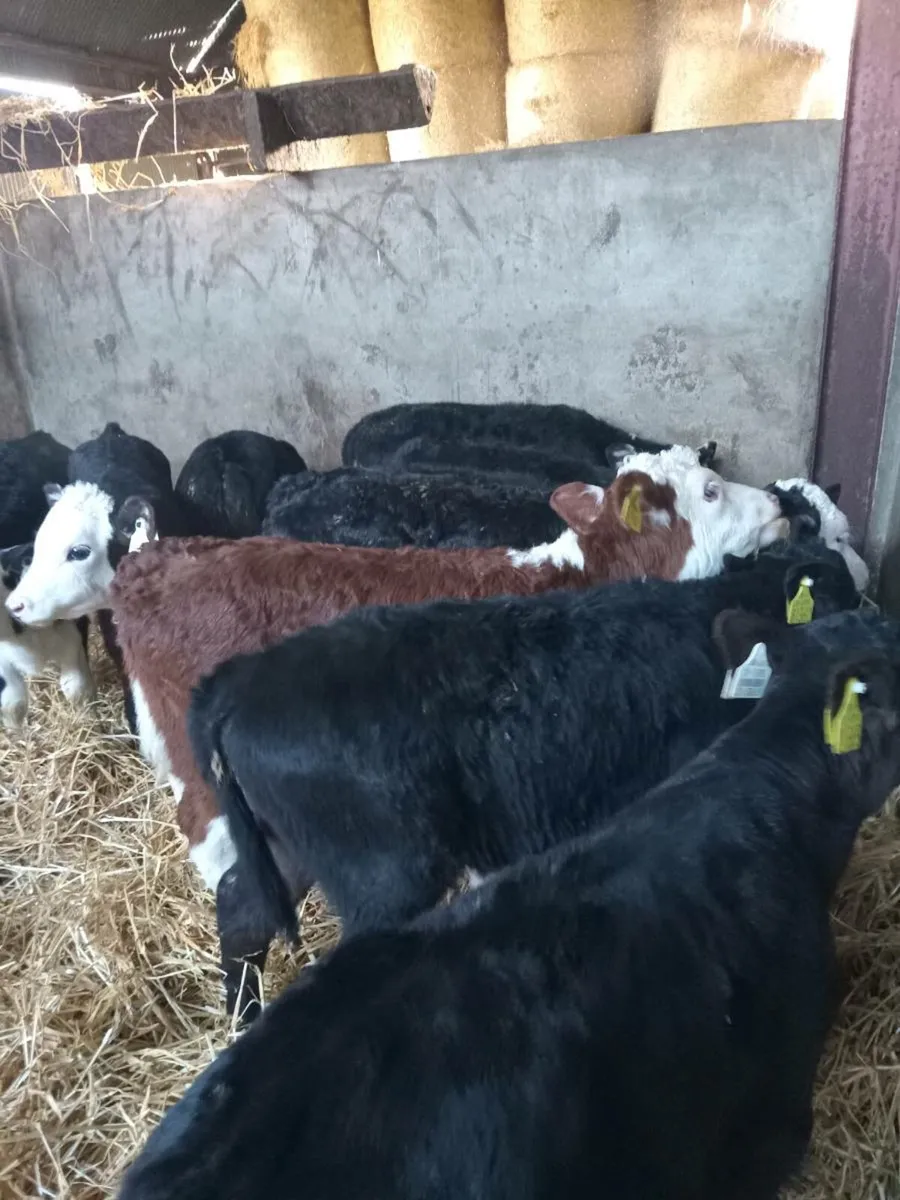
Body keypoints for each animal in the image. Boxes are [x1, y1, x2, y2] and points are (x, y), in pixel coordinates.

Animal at [119, 608, 900, 1200]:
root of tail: (238, 676)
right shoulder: (769, 1114)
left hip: (291, 844)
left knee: (240, 905)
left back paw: (240, 1014)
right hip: (381, 868)